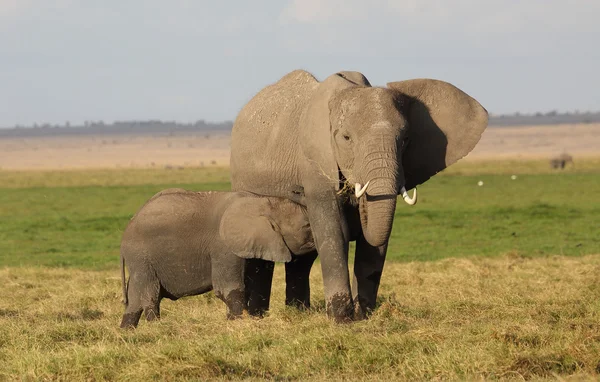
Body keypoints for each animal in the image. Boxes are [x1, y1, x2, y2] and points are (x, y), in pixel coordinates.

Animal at [118, 188, 314, 328]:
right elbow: (227, 288)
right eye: (307, 226)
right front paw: (240, 323)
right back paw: (158, 327)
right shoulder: (223, 246)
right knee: (150, 295)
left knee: (135, 300)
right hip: (141, 257)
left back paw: (127, 332)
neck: (264, 200)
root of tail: (129, 225)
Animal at [230, 70, 488, 320]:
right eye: (346, 138)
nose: (296, 191)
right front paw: (341, 319)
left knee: (300, 260)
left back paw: (297, 313)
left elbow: (375, 239)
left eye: (406, 140)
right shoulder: (315, 163)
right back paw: (259, 316)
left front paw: (365, 315)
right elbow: (334, 230)